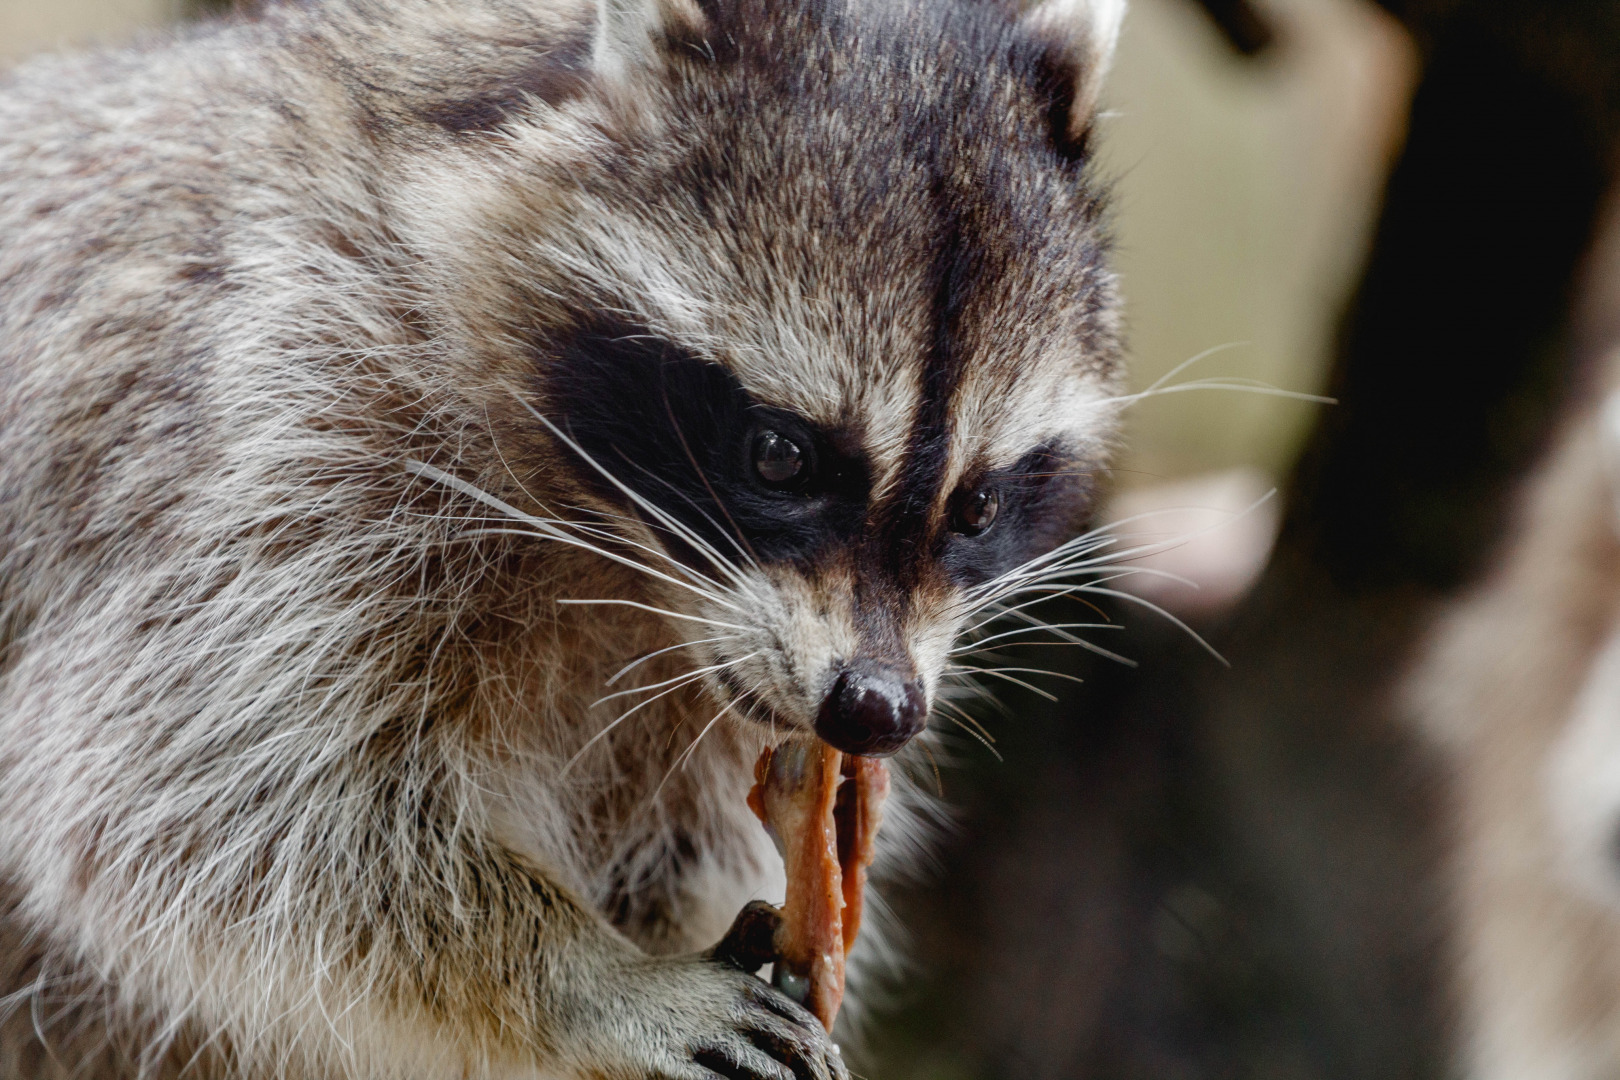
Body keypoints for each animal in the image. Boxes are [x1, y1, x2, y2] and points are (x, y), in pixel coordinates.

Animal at [0, 0, 1127, 1075]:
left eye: (978, 506)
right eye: (780, 455)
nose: (876, 709)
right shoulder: (285, 412)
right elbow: (197, 804)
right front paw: (591, 977)